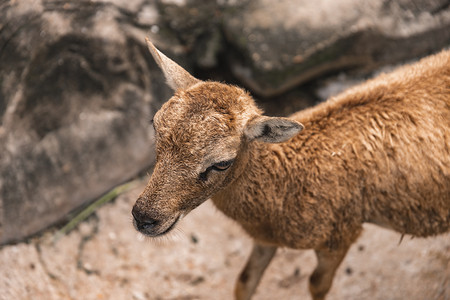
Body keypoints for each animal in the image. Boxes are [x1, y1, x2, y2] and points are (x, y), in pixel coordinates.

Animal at [131, 38, 450, 300]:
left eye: (221, 162)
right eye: (155, 127)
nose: (144, 217)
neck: (287, 179)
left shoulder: (341, 234)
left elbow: (317, 286)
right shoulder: (265, 238)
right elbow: (244, 282)